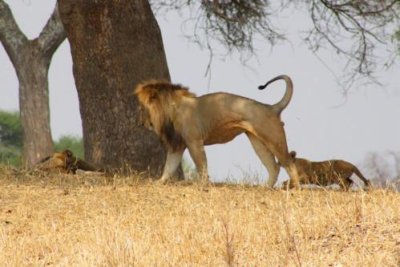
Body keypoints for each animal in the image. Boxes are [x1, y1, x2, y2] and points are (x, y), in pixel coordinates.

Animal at [134, 75, 300, 188]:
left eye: (142, 109)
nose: (140, 123)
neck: (172, 112)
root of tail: (271, 107)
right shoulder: (178, 145)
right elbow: (169, 166)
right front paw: (159, 182)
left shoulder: (194, 142)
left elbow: (201, 164)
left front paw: (202, 184)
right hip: (258, 142)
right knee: (273, 167)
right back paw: (265, 188)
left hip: (274, 139)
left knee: (289, 163)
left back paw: (295, 188)